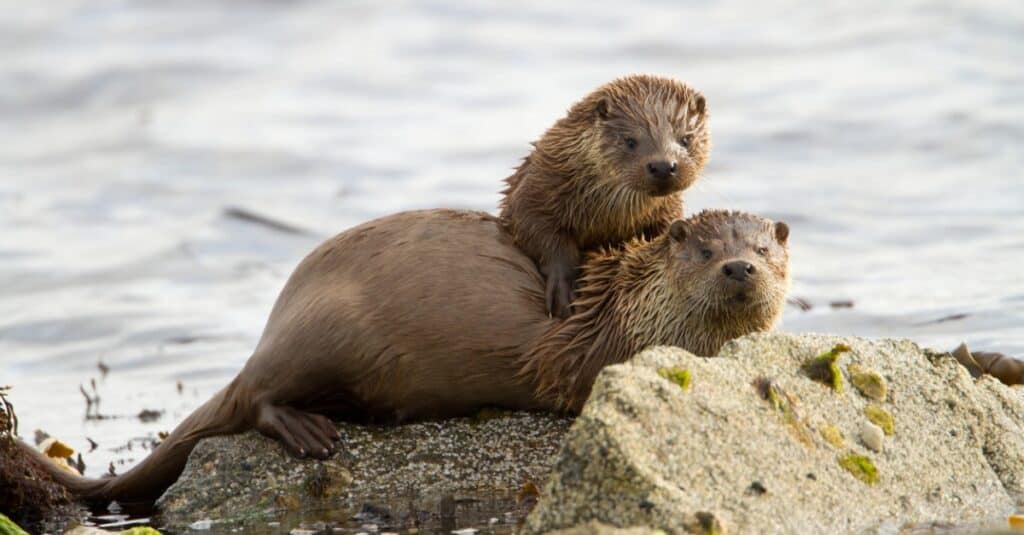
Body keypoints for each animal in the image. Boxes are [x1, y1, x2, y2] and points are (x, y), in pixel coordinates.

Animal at [19, 207, 786, 504]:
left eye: (764, 247)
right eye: (705, 249)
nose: (740, 267)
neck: (623, 307)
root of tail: (275, 322)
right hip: (322, 330)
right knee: (258, 396)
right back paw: (310, 431)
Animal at [499, 73, 708, 315]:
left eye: (686, 139)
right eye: (630, 141)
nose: (663, 166)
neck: (605, 217)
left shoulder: (667, 211)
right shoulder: (534, 191)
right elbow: (538, 232)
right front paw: (563, 288)